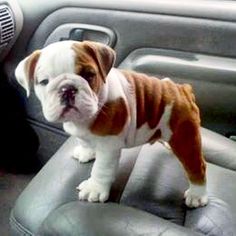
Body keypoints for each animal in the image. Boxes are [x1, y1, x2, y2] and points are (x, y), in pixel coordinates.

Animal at [14, 40, 207, 208]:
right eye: (44, 82)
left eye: (89, 75)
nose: (67, 89)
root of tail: (182, 89)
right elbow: (84, 140)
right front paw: (86, 152)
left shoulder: (108, 145)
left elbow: (101, 169)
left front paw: (94, 189)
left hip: (185, 138)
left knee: (197, 167)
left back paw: (197, 195)